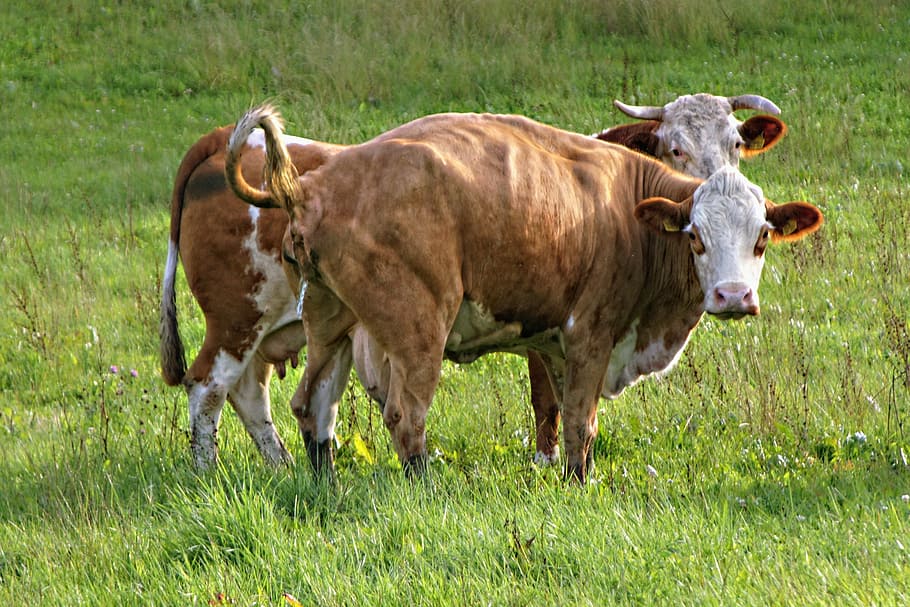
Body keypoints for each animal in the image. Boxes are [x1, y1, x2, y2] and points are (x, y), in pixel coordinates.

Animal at [160, 94, 787, 469]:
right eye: (673, 145)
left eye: (736, 143)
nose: (733, 295)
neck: (622, 204)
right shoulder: (585, 331)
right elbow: (570, 419)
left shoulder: (552, 337)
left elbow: (560, 411)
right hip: (278, 323)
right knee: (213, 389)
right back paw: (209, 472)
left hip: (318, 324)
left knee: (291, 402)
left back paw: (295, 472)